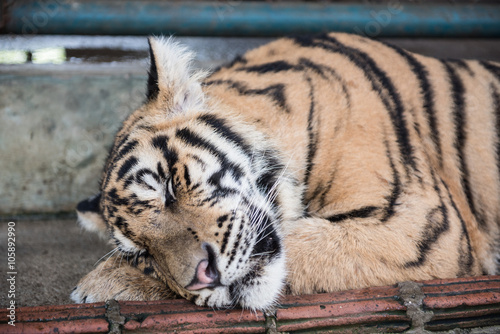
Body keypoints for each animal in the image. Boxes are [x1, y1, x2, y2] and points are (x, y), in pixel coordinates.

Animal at [69, 32, 500, 312]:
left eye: (169, 188)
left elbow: (306, 241)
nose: (203, 278)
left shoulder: (420, 225)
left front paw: (96, 283)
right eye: (143, 254)